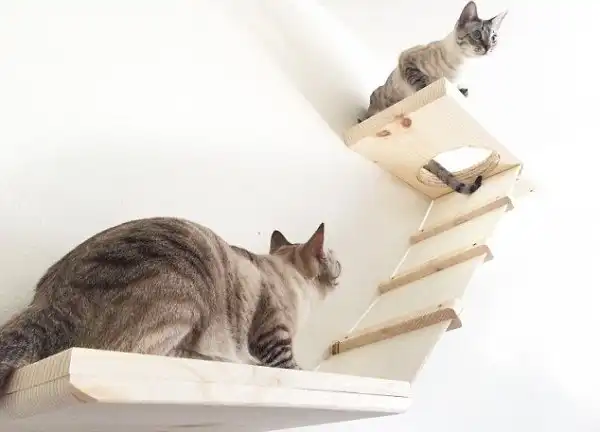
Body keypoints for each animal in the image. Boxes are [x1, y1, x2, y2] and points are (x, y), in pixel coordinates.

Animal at [0, 217, 341, 394]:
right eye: (337, 263)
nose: (341, 271)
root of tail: (48, 303)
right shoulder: (274, 332)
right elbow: (290, 364)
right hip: (189, 287)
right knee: (159, 352)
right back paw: (234, 362)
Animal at [359, 1, 507, 195]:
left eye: (494, 38)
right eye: (477, 34)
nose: (488, 48)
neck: (459, 67)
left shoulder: (456, 84)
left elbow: (461, 91)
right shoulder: (407, 59)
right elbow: (421, 82)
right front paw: (426, 86)